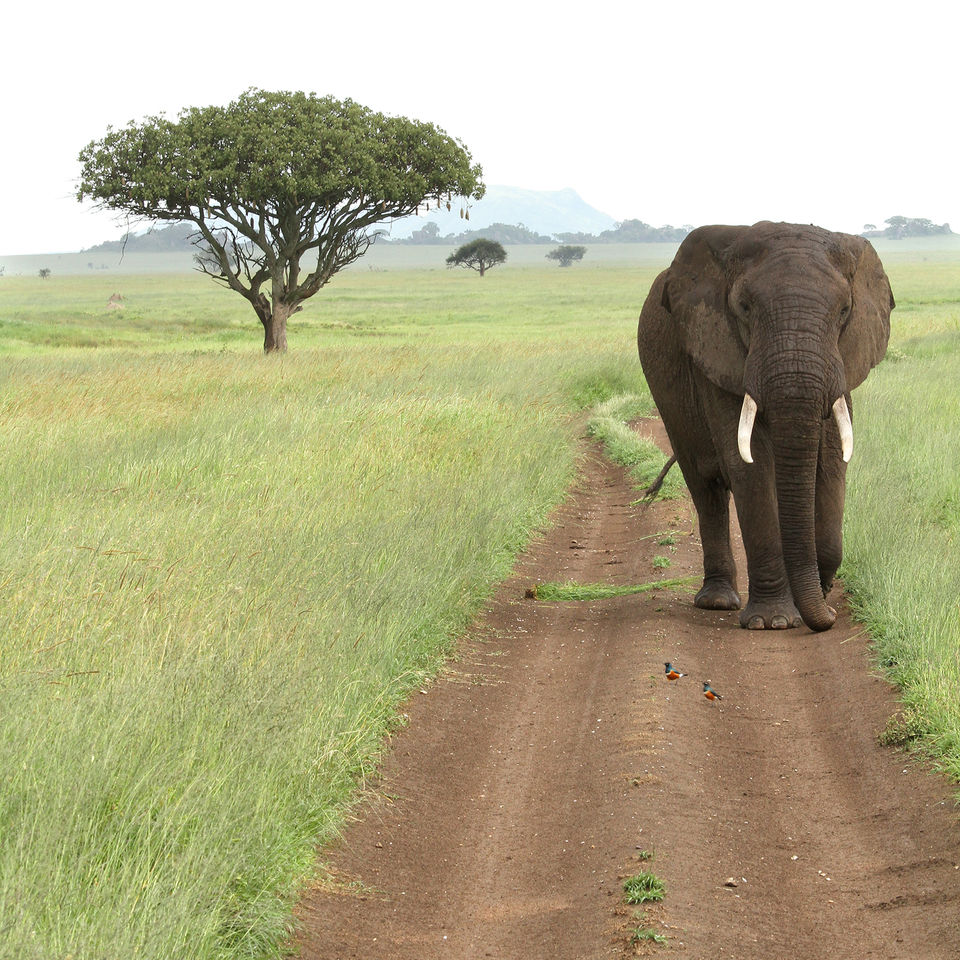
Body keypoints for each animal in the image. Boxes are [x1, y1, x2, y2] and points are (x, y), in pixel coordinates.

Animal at [637, 221, 894, 632]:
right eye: (744, 307)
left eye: (845, 310)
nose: (829, 619)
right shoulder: (717, 355)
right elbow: (752, 466)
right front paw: (774, 622)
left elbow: (833, 461)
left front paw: (822, 596)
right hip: (670, 401)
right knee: (706, 490)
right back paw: (718, 602)